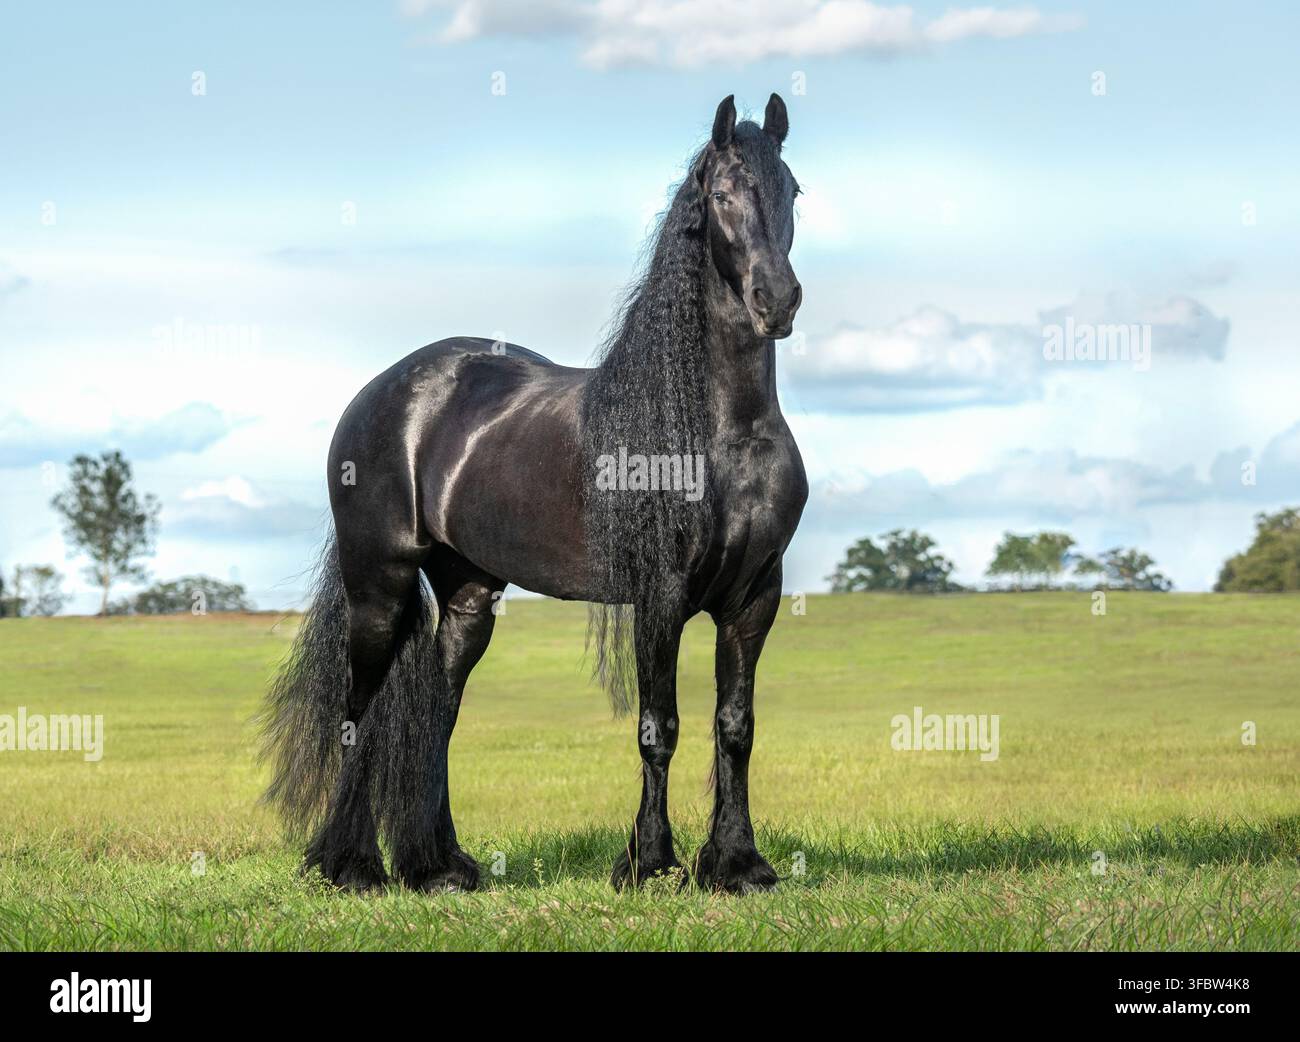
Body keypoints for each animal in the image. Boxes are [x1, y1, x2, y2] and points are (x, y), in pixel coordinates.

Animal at [260, 93, 807, 894]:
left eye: (792, 190)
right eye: (721, 195)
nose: (778, 299)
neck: (721, 430)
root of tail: (384, 392)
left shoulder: (755, 596)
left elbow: (735, 727)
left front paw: (739, 865)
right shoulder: (660, 596)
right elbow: (659, 728)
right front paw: (649, 863)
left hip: (467, 596)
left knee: (437, 714)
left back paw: (440, 867)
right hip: (378, 584)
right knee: (359, 710)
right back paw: (352, 867)